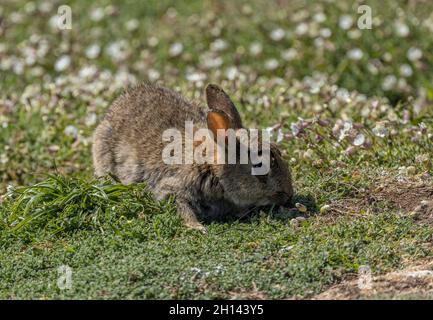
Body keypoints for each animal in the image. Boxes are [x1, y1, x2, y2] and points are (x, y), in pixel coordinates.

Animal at [92, 83, 292, 232]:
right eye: (259, 165)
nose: (288, 195)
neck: (211, 167)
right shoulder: (172, 187)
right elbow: (180, 207)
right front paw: (197, 227)